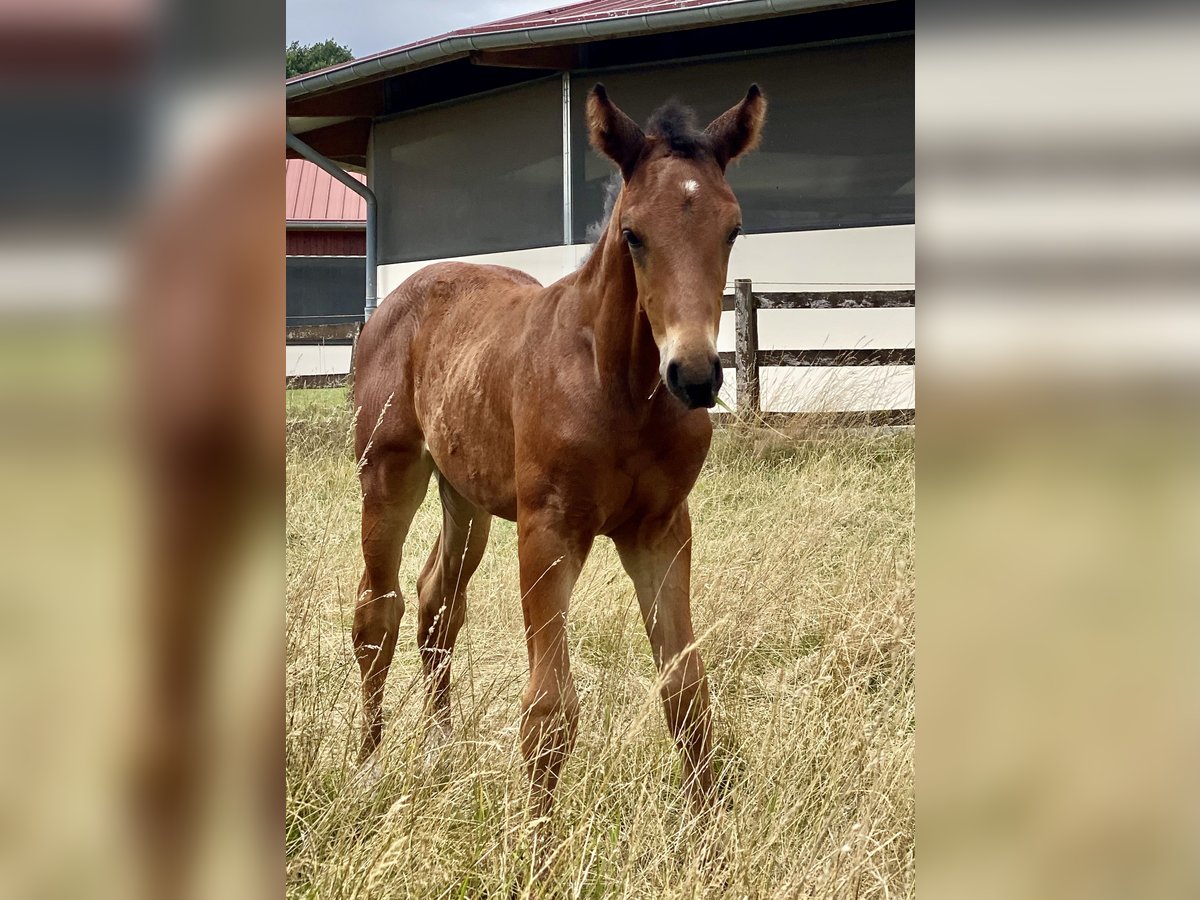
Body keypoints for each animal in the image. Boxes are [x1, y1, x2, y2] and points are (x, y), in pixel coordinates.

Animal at [350, 84, 768, 825]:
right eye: (633, 234)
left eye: (732, 230)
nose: (695, 376)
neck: (620, 389)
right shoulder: (549, 529)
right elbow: (548, 713)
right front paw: (538, 844)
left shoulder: (661, 530)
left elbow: (687, 691)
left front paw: (710, 835)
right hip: (389, 473)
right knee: (378, 610)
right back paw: (370, 770)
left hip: (466, 495)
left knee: (436, 603)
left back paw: (438, 753)